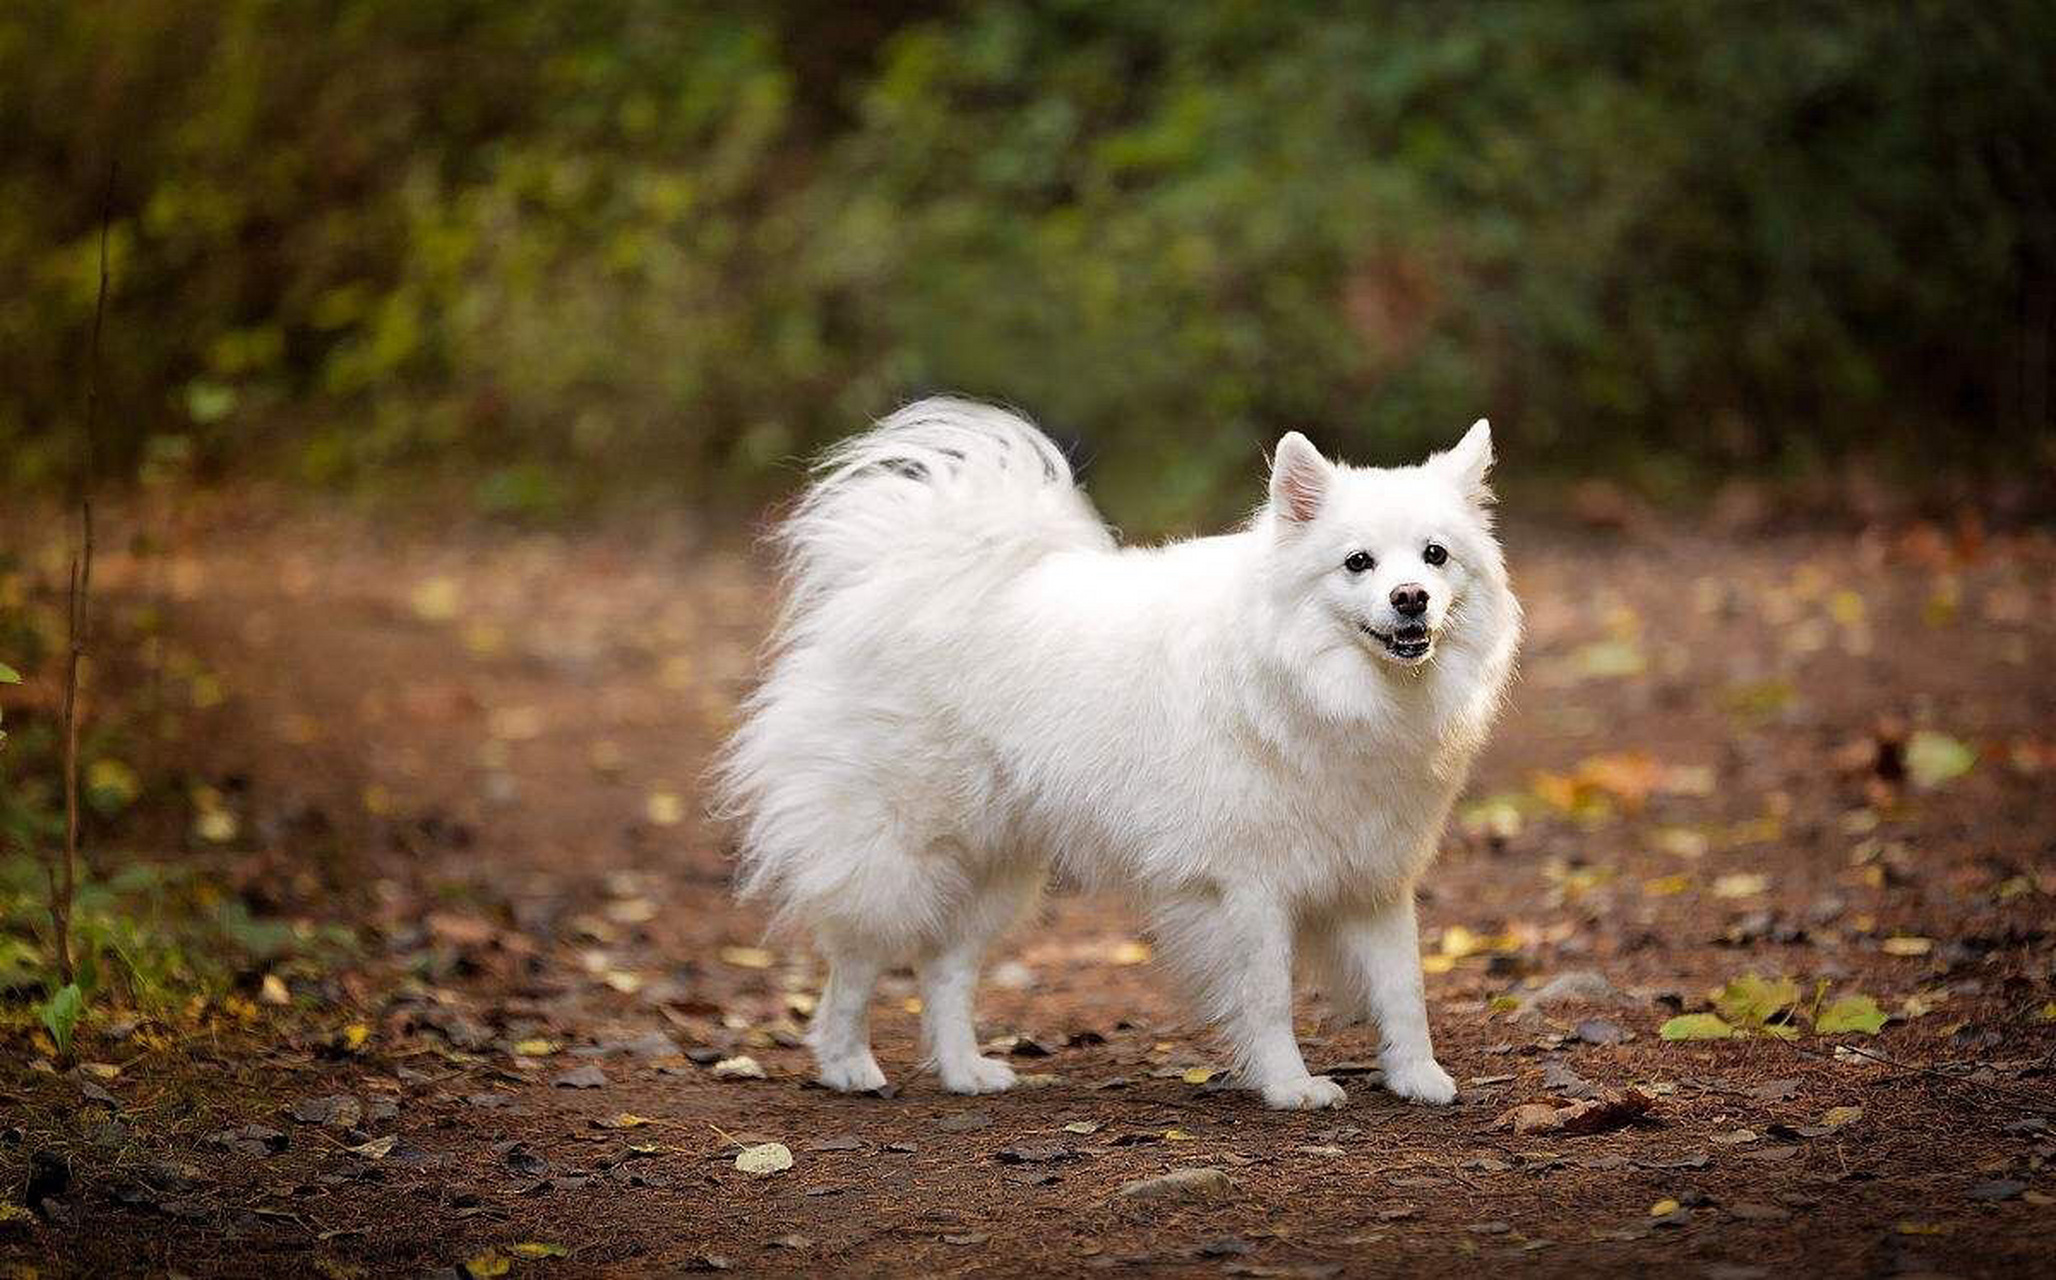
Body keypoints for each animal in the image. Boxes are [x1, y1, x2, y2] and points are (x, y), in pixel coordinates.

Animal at [715, 398, 1521, 1109]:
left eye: (1435, 556)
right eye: (1358, 563)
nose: (1411, 597)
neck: (1318, 686)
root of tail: (895, 581)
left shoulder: (1377, 878)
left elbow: (1404, 988)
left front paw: (1418, 1077)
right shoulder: (1247, 886)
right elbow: (1266, 995)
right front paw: (1290, 1086)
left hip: (1000, 869)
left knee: (945, 969)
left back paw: (965, 1071)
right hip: (902, 853)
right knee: (855, 962)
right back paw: (847, 1065)